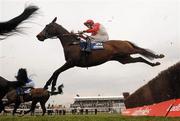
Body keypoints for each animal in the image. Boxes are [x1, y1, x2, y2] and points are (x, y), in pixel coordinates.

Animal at [36, 17, 165, 91]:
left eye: (47, 26)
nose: (38, 36)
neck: (71, 44)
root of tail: (124, 41)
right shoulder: (70, 63)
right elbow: (56, 72)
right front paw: (50, 86)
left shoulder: (71, 63)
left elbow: (56, 71)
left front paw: (49, 85)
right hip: (124, 59)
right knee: (139, 58)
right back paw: (154, 64)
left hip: (127, 50)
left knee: (141, 51)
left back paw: (158, 56)